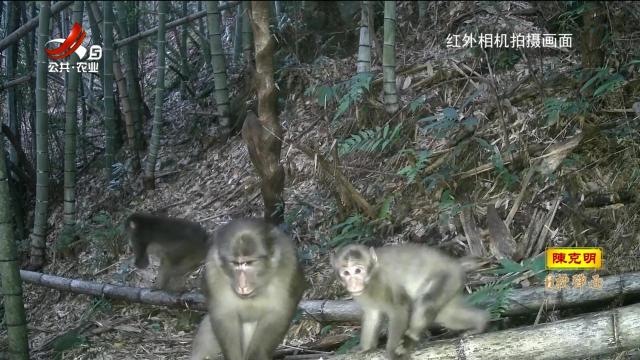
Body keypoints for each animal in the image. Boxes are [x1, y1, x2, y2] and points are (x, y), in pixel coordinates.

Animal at [332, 243, 488, 358]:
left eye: (358, 270)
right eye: (346, 273)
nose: (353, 284)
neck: (371, 278)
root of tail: (456, 265)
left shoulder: (384, 282)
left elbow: (399, 310)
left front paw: (391, 352)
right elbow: (373, 314)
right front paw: (365, 348)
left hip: (447, 277)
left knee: (427, 301)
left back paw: (409, 339)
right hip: (453, 284)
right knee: (447, 316)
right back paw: (480, 321)